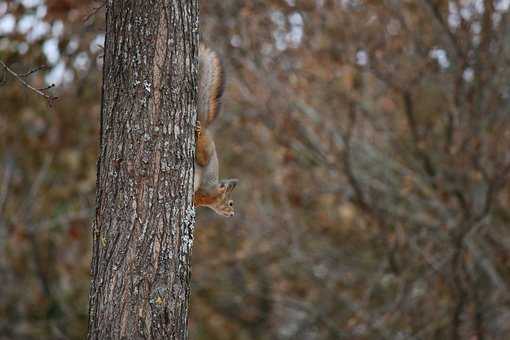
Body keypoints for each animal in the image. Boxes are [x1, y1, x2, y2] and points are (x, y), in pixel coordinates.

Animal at [193, 44, 239, 218]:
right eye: (230, 203)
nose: (232, 214)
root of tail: (206, 127)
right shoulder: (206, 190)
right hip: (206, 150)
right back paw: (198, 132)